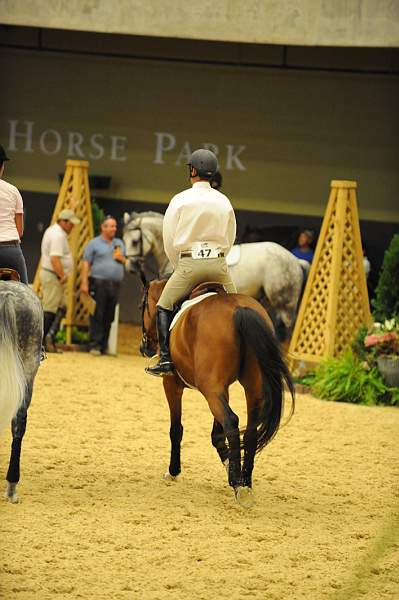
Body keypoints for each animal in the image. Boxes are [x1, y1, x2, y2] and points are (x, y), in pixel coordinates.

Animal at [142, 278, 296, 508]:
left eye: (141, 306)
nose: (144, 348)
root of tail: (239, 308)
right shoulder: (223, 388)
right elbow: (217, 434)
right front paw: (229, 464)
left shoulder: (172, 385)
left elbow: (176, 429)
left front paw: (173, 472)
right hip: (250, 387)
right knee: (249, 429)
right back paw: (244, 482)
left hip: (211, 390)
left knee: (232, 421)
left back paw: (237, 483)